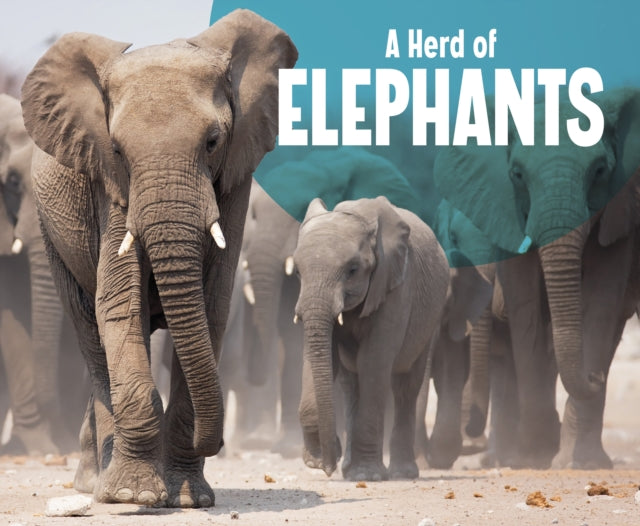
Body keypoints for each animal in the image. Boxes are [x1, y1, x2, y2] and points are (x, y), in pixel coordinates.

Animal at [19, 9, 297, 507]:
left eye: (213, 141)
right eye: (116, 150)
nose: (219, 442)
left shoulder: (235, 180)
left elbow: (212, 307)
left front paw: (189, 499)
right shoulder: (108, 186)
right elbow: (119, 303)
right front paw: (133, 496)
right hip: (49, 230)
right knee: (91, 336)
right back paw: (98, 484)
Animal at [294, 196, 449, 480]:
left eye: (353, 270)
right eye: (298, 272)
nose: (328, 467)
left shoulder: (396, 286)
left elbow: (373, 362)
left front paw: (367, 476)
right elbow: (319, 357)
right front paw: (319, 459)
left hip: (431, 314)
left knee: (405, 386)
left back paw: (401, 473)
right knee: (350, 384)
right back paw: (350, 470)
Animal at [434, 87, 640, 468]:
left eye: (600, 170)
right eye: (517, 174)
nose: (595, 375)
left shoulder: (620, 210)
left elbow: (602, 303)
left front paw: (578, 463)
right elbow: (524, 304)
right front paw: (534, 454)